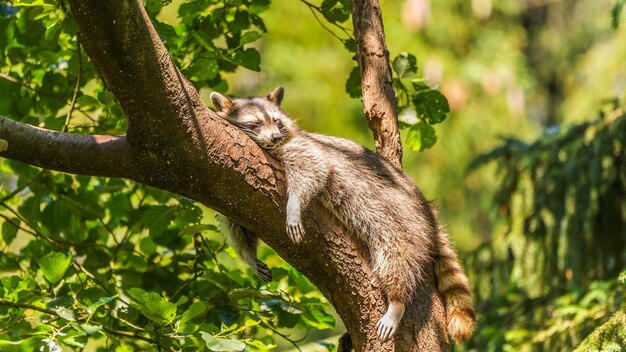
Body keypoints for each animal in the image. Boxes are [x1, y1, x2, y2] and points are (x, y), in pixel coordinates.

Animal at [210, 86, 472, 342]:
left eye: (276, 121)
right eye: (255, 123)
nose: (275, 136)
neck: (272, 146)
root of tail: (426, 207)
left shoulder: (302, 147)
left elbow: (314, 169)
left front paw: (293, 206)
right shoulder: (232, 184)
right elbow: (235, 220)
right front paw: (248, 254)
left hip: (403, 219)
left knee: (396, 257)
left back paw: (397, 300)